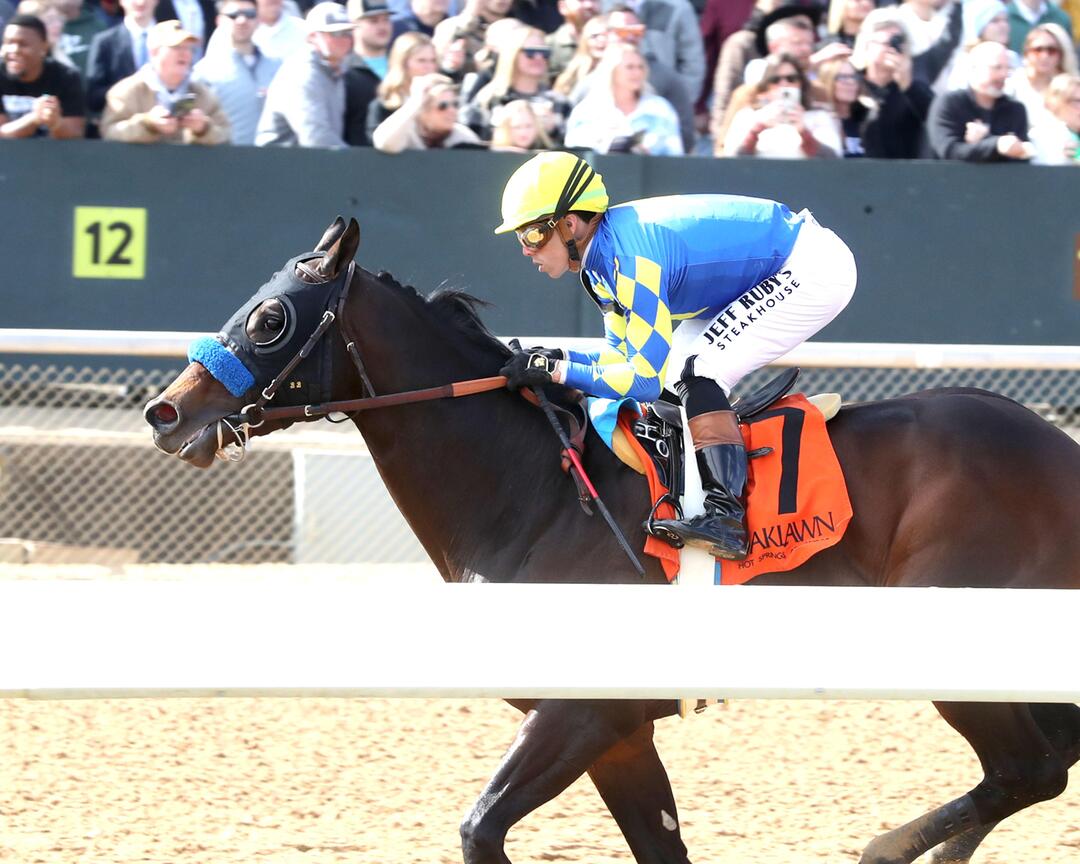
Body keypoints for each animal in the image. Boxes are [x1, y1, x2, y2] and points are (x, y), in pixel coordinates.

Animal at [144, 217, 1080, 864]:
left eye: (269, 319)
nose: (165, 413)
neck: (533, 493)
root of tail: (1060, 448)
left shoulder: (586, 708)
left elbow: (480, 829)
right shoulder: (622, 734)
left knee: (1028, 769)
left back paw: (889, 847)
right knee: (1044, 761)